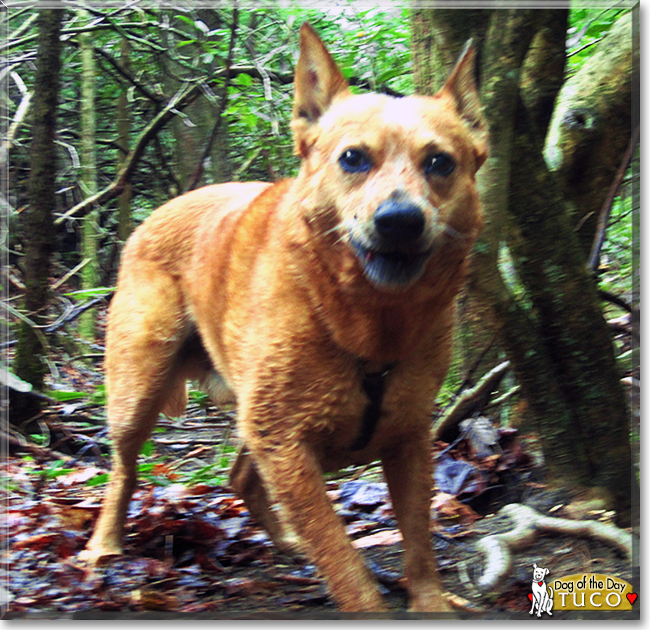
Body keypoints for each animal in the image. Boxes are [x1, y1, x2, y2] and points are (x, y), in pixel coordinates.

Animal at [78, 22, 486, 616]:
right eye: (352, 158)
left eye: (440, 162)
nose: (400, 220)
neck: (370, 324)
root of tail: (155, 215)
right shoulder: (285, 441)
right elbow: (341, 556)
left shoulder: (408, 437)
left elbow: (418, 539)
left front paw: (430, 601)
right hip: (139, 388)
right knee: (124, 466)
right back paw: (104, 543)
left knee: (240, 476)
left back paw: (286, 540)